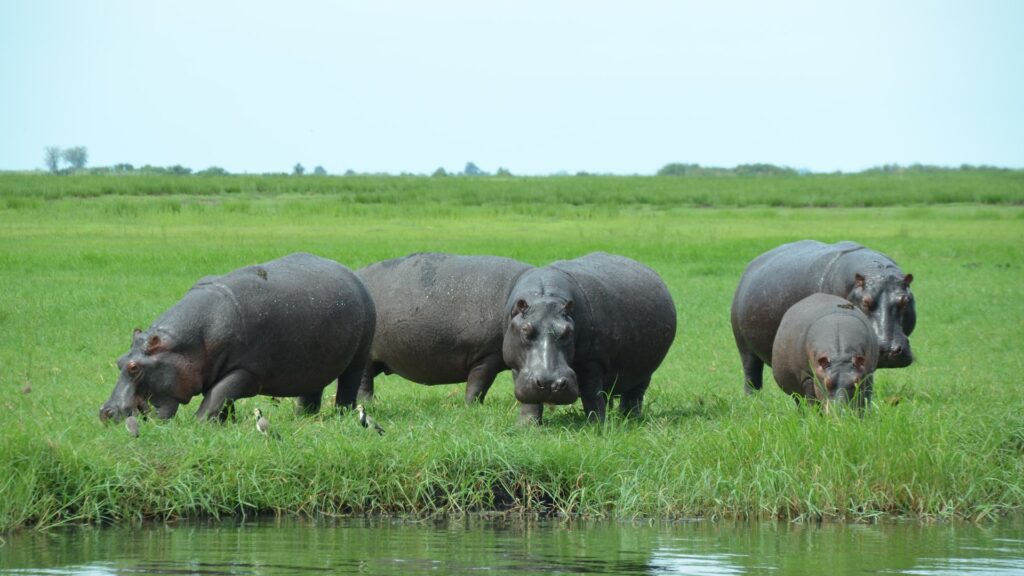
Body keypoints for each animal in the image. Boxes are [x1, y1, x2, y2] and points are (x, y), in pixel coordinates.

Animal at [96, 251, 372, 422]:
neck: (183, 346)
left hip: (357, 360)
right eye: (119, 361)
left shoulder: (247, 371)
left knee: (348, 386)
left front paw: (198, 424)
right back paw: (303, 417)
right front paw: (224, 424)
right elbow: (223, 400)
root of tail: (353, 275)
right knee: (311, 391)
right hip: (314, 364)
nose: (105, 412)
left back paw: (341, 416)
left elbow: (216, 396)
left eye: (134, 367)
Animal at [354, 251, 532, 403]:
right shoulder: (487, 355)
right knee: (364, 382)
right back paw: (368, 404)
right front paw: (472, 407)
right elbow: (478, 384)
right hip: (367, 358)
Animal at [499, 253, 675, 424]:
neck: (545, 297)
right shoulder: (518, 367)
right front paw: (526, 427)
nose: (551, 383)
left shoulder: (592, 362)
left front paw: (598, 426)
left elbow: (591, 396)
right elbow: (530, 402)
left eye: (569, 331)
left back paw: (629, 420)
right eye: (525, 329)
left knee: (633, 395)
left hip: (645, 372)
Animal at [733, 239, 917, 391]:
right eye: (865, 301)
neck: (874, 271)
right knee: (751, 376)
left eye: (906, 300)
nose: (887, 350)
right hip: (743, 345)